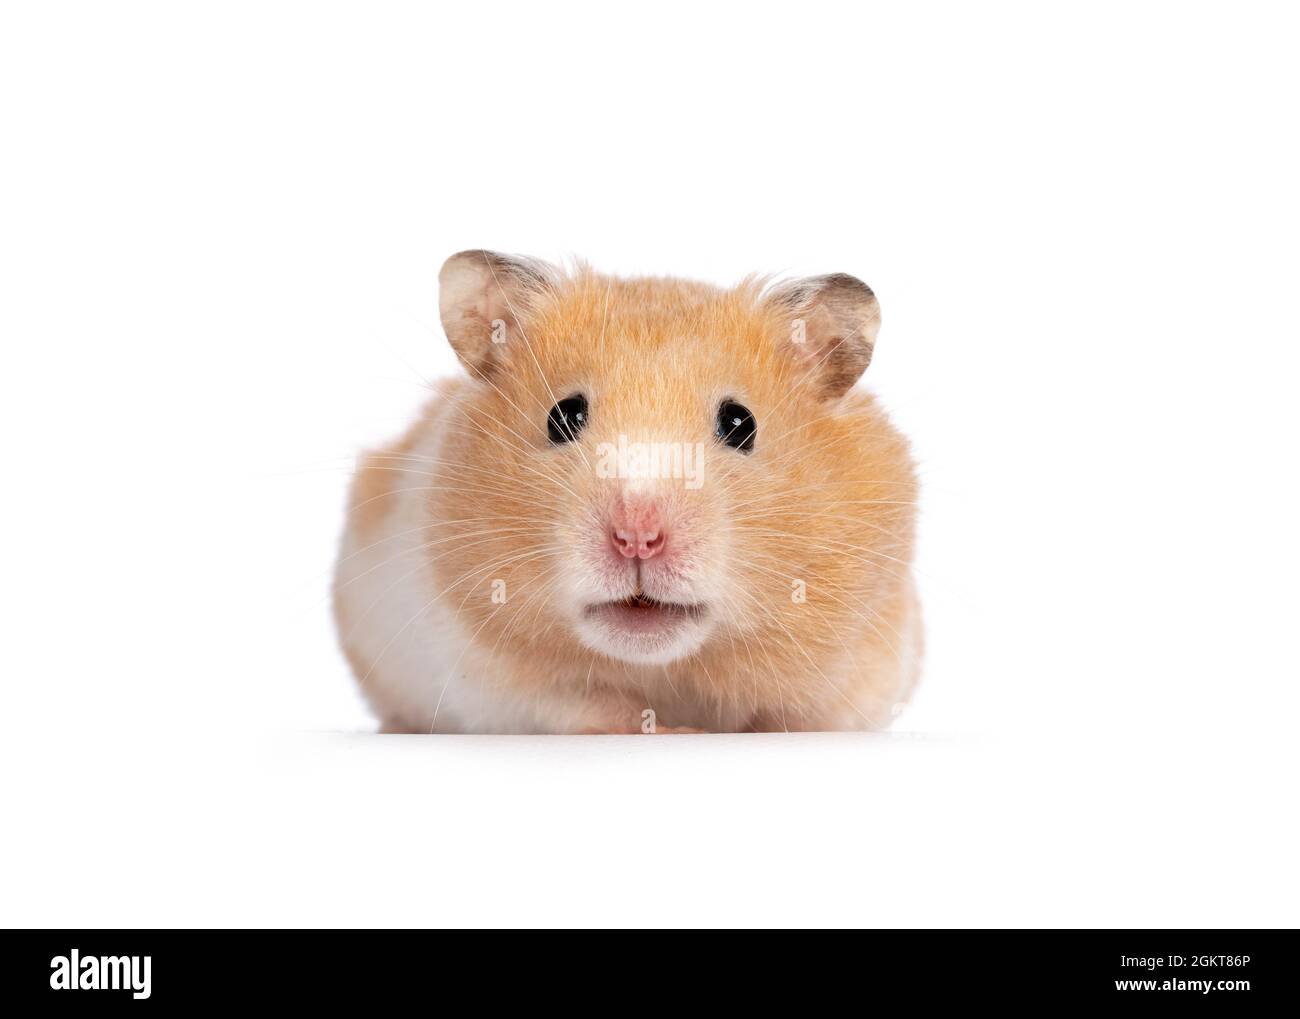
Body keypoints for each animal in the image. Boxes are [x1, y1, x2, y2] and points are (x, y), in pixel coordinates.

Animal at [332, 250, 922, 733]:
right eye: (563, 416)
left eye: (741, 424)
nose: (637, 537)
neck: (665, 667)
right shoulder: (492, 677)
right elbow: (591, 707)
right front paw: (677, 733)